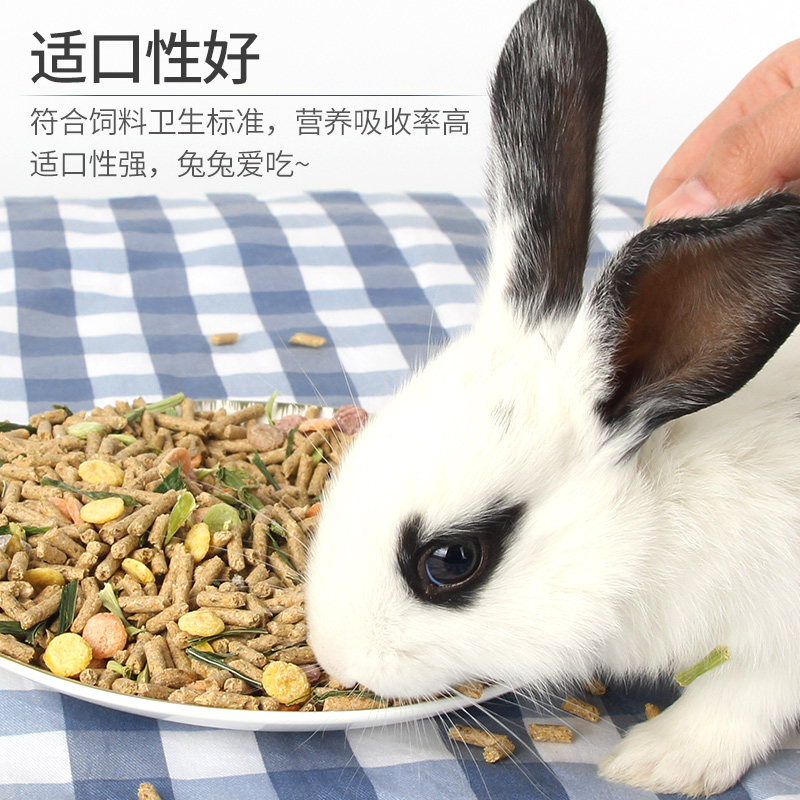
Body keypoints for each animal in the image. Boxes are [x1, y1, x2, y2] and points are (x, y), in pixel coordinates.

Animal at [304, 0, 800, 794]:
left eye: (450, 560)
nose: (337, 658)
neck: (657, 513)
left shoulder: (781, 630)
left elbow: (745, 695)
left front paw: (660, 761)